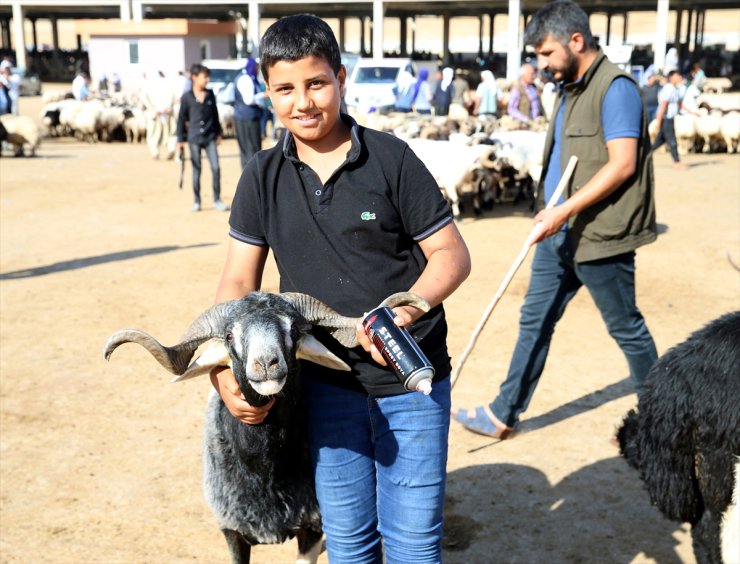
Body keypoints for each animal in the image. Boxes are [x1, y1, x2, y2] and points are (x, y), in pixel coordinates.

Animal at [103, 290, 428, 564]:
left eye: (293, 331)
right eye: (230, 335)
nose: (267, 364)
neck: (266, 473)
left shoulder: (311, 526)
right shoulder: (232, 531)